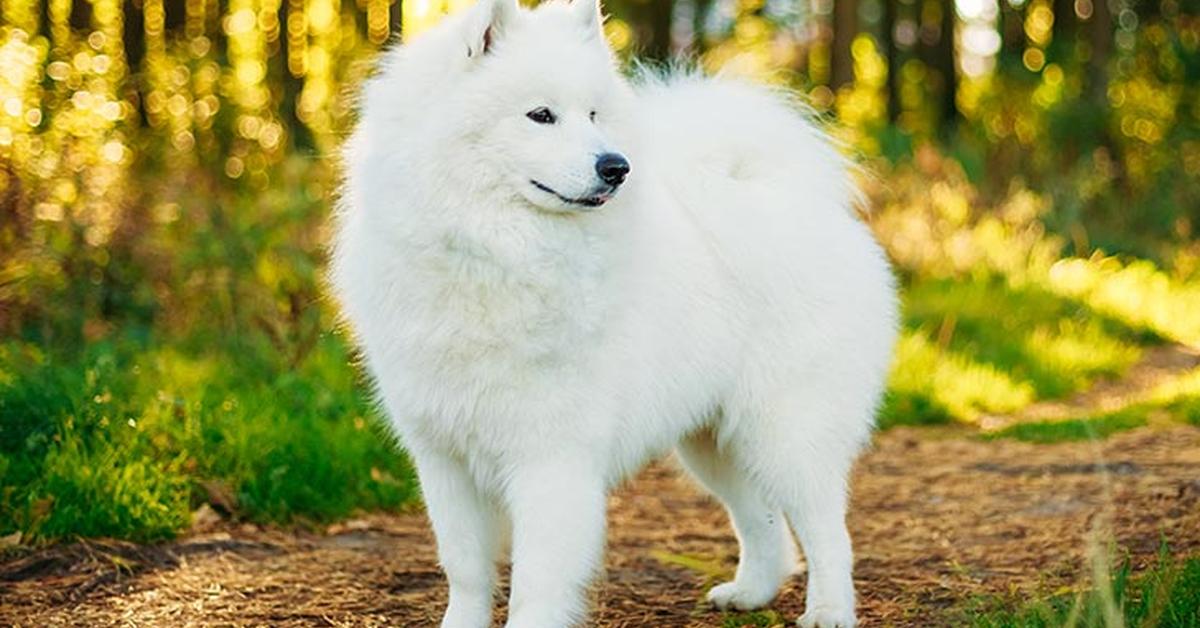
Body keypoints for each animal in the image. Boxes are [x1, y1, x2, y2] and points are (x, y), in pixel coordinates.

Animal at [333, 1, 897, 628]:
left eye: (594, 114)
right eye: (541, 115)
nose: (616, 166)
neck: (494, 249)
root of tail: (804, 205)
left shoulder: (551, 456)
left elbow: (535, 580)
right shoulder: (444, 456)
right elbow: (466, 569)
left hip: (787, 430)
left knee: (828, 531)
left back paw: (829, 610)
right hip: (713, 440)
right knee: (761, 521)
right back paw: (750, 592)